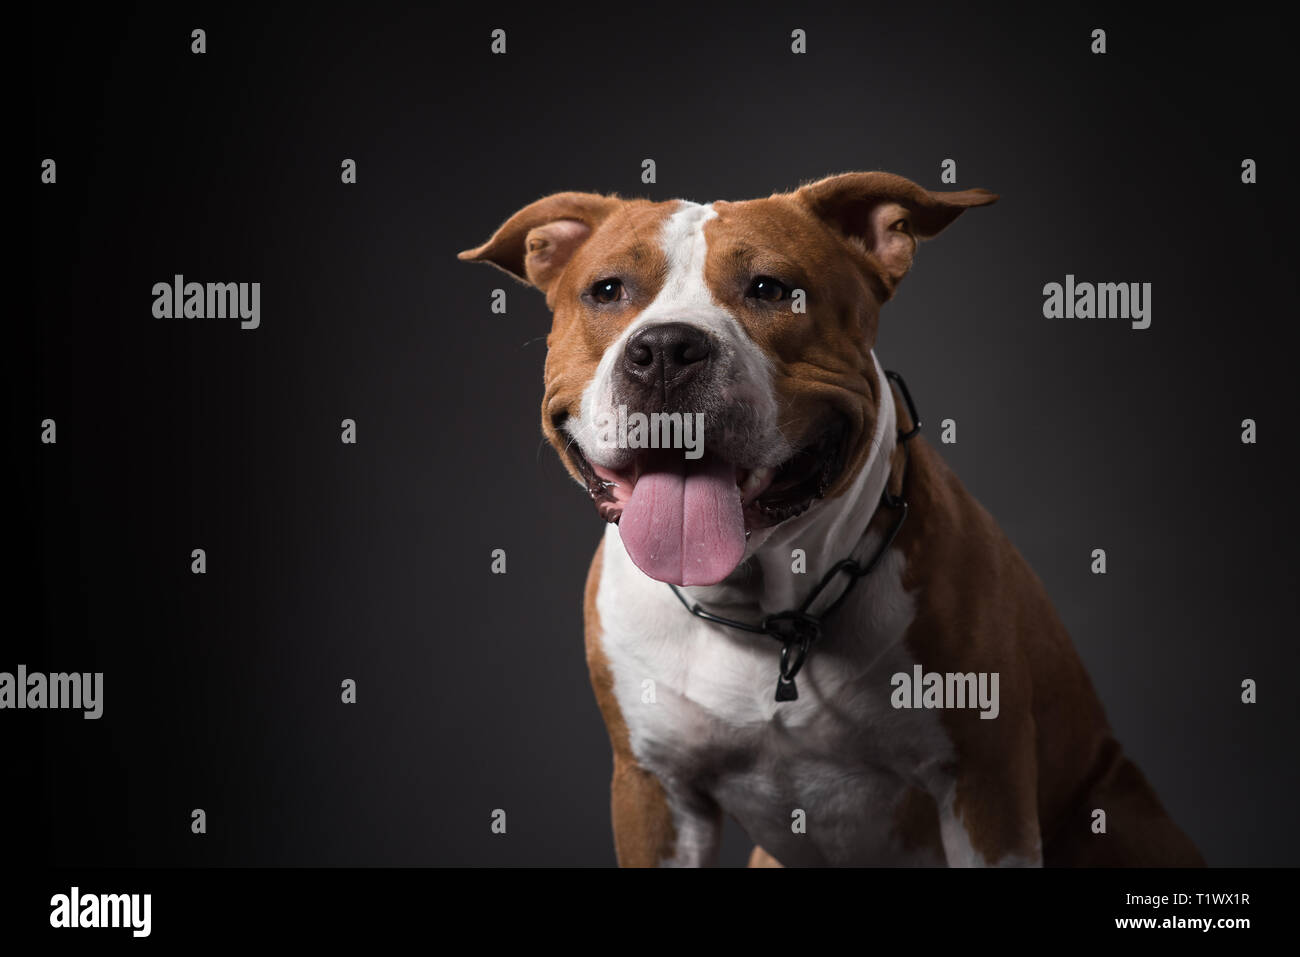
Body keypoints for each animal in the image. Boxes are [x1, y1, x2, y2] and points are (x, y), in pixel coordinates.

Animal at [462, 171, 1201, 868]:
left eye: (770, 289)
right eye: (608, 290)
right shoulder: (655, 792)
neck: (764, 617)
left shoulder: (985, 786)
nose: (667, 349)